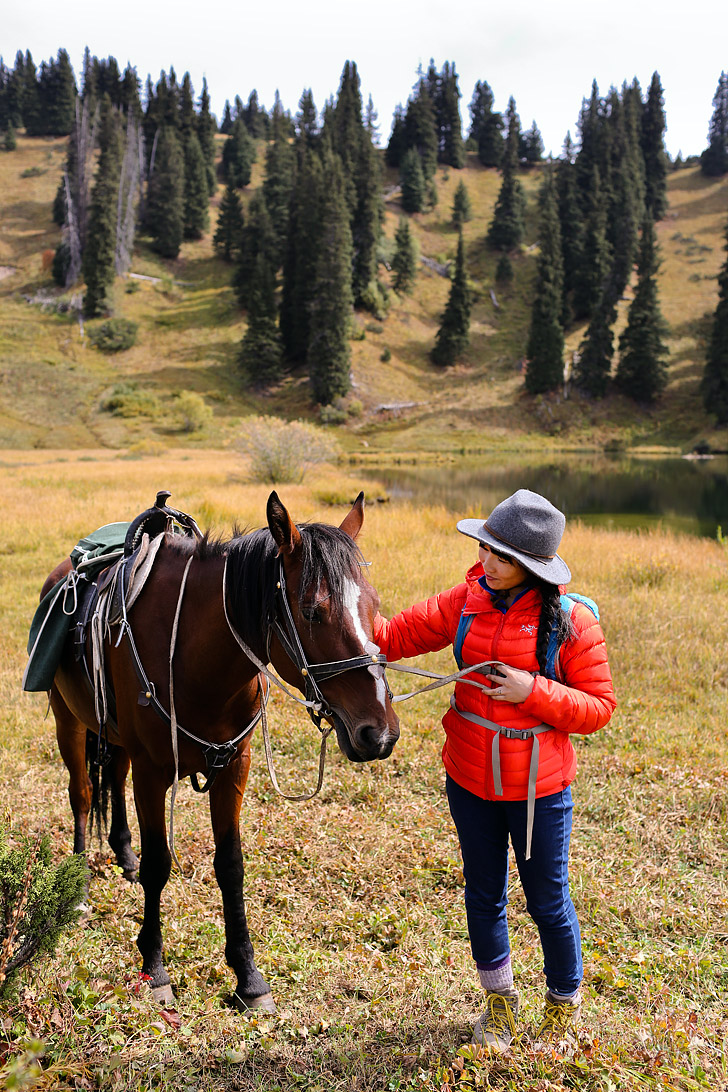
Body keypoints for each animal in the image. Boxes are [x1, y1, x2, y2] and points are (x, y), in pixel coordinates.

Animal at [42, 491, 401, 1009]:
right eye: (312, 611)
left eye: (374, 605)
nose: (381, 732)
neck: (195, 659)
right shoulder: (153, 771)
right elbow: (158, 864)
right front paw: (155, 967)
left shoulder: (234, 765)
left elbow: (231, 865)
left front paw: (248, 976)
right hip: (67, 719)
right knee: (84, 795)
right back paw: (79, 883)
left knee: (113, 777)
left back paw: (123, 856)